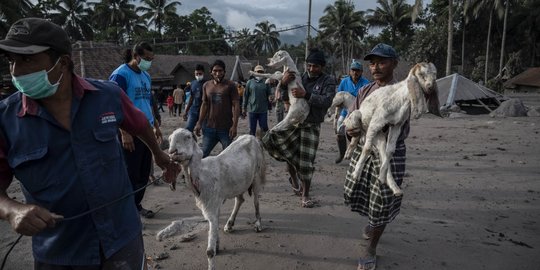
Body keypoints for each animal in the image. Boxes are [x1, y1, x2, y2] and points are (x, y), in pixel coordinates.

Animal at [165, 129, 266, 270]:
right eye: (169, 139)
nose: (172, 152)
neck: (201, 175)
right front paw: (217, 245)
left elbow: (209, 252)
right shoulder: (214, 204)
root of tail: (252, 137)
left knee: (256, 201)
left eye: (188, 137)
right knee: (240, 200)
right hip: (239, 183)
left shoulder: (211, 205)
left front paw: (213, 252)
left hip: (257, 175)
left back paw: (258, 224)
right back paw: (229, 224)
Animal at [346, 61, 438, 196]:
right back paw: (349, 152)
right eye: (421, 74)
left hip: (379, 136)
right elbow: (366, 149)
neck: (401, 99)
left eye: (435, 74)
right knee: (357, 137)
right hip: (355, 118)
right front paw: (356, 174)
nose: (430, 87)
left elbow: (390, 151)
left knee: (382, 151)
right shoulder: (376, 121)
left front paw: (382, 177)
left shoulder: (397, 125)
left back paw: (392, 186)